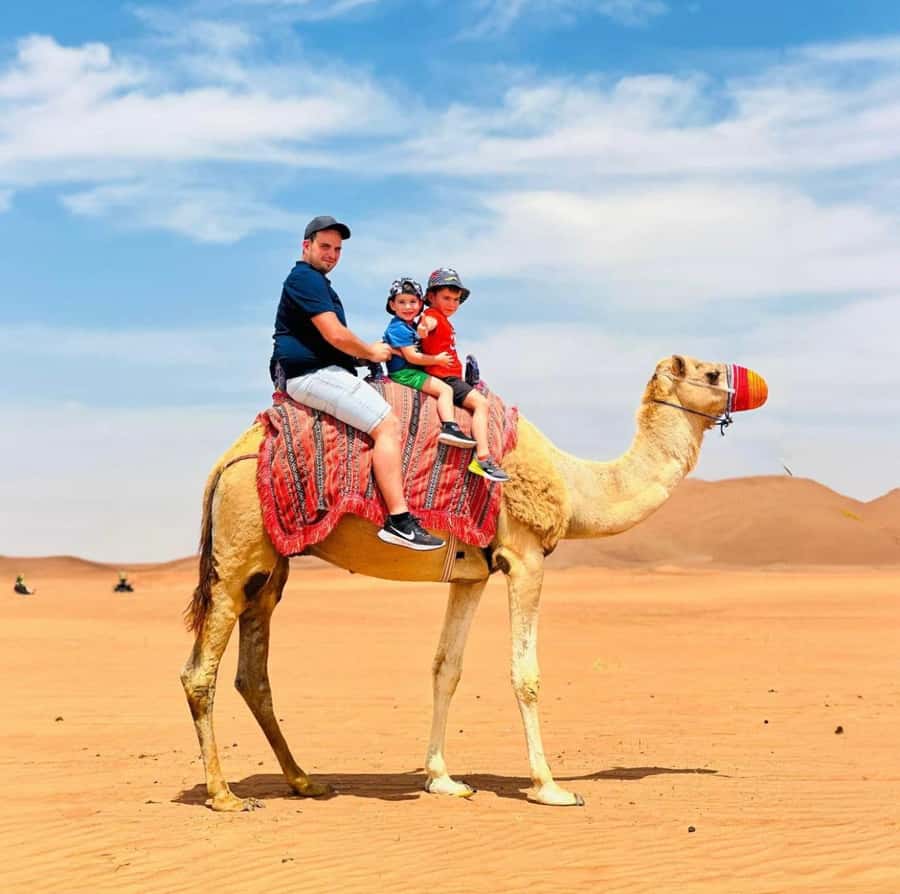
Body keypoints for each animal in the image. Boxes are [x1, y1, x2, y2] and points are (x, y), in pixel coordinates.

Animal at [181, 354, 766, 810]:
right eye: (711, 372)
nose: (756, 383)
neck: (574, 483)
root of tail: (222, 462)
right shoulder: (524, 557)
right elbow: (525, 674)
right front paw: (550, 787)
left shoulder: (471, 573)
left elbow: (446, 668)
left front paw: (443, 779)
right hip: (239, 549)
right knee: (199, 672)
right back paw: (224, 795)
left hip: (270, 568)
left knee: (253, 673)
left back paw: (305, 782)